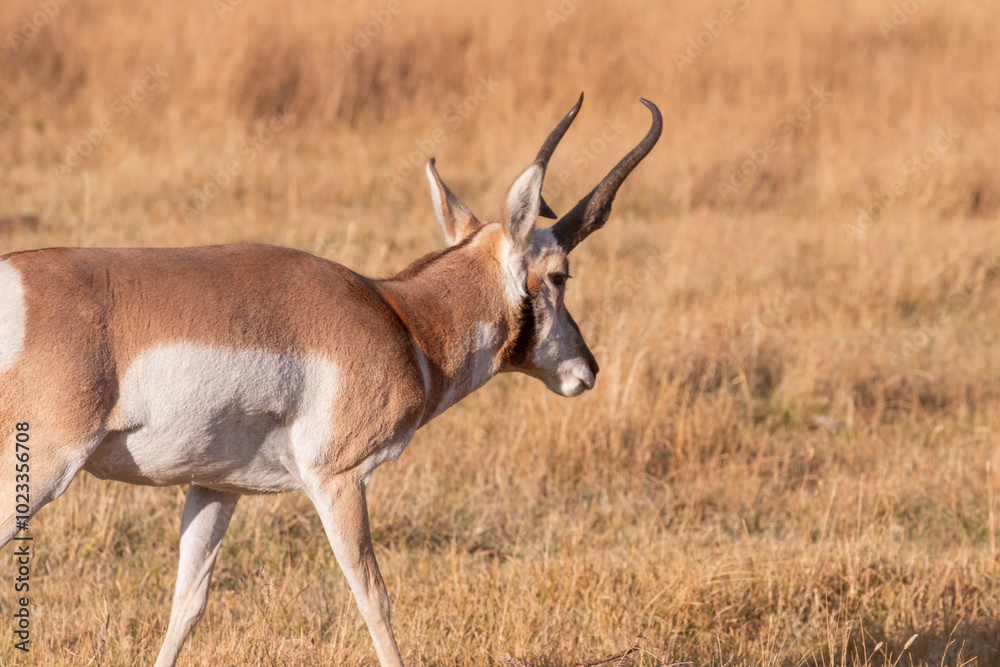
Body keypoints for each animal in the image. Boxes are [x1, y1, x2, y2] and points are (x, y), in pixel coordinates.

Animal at [0, 94, 660, 666]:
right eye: (561, 274)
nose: (587, 369)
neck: (402, 318)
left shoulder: (215, 486)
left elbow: (187, 603)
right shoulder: (339, 480)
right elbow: (374, 598)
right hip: (45, 466)